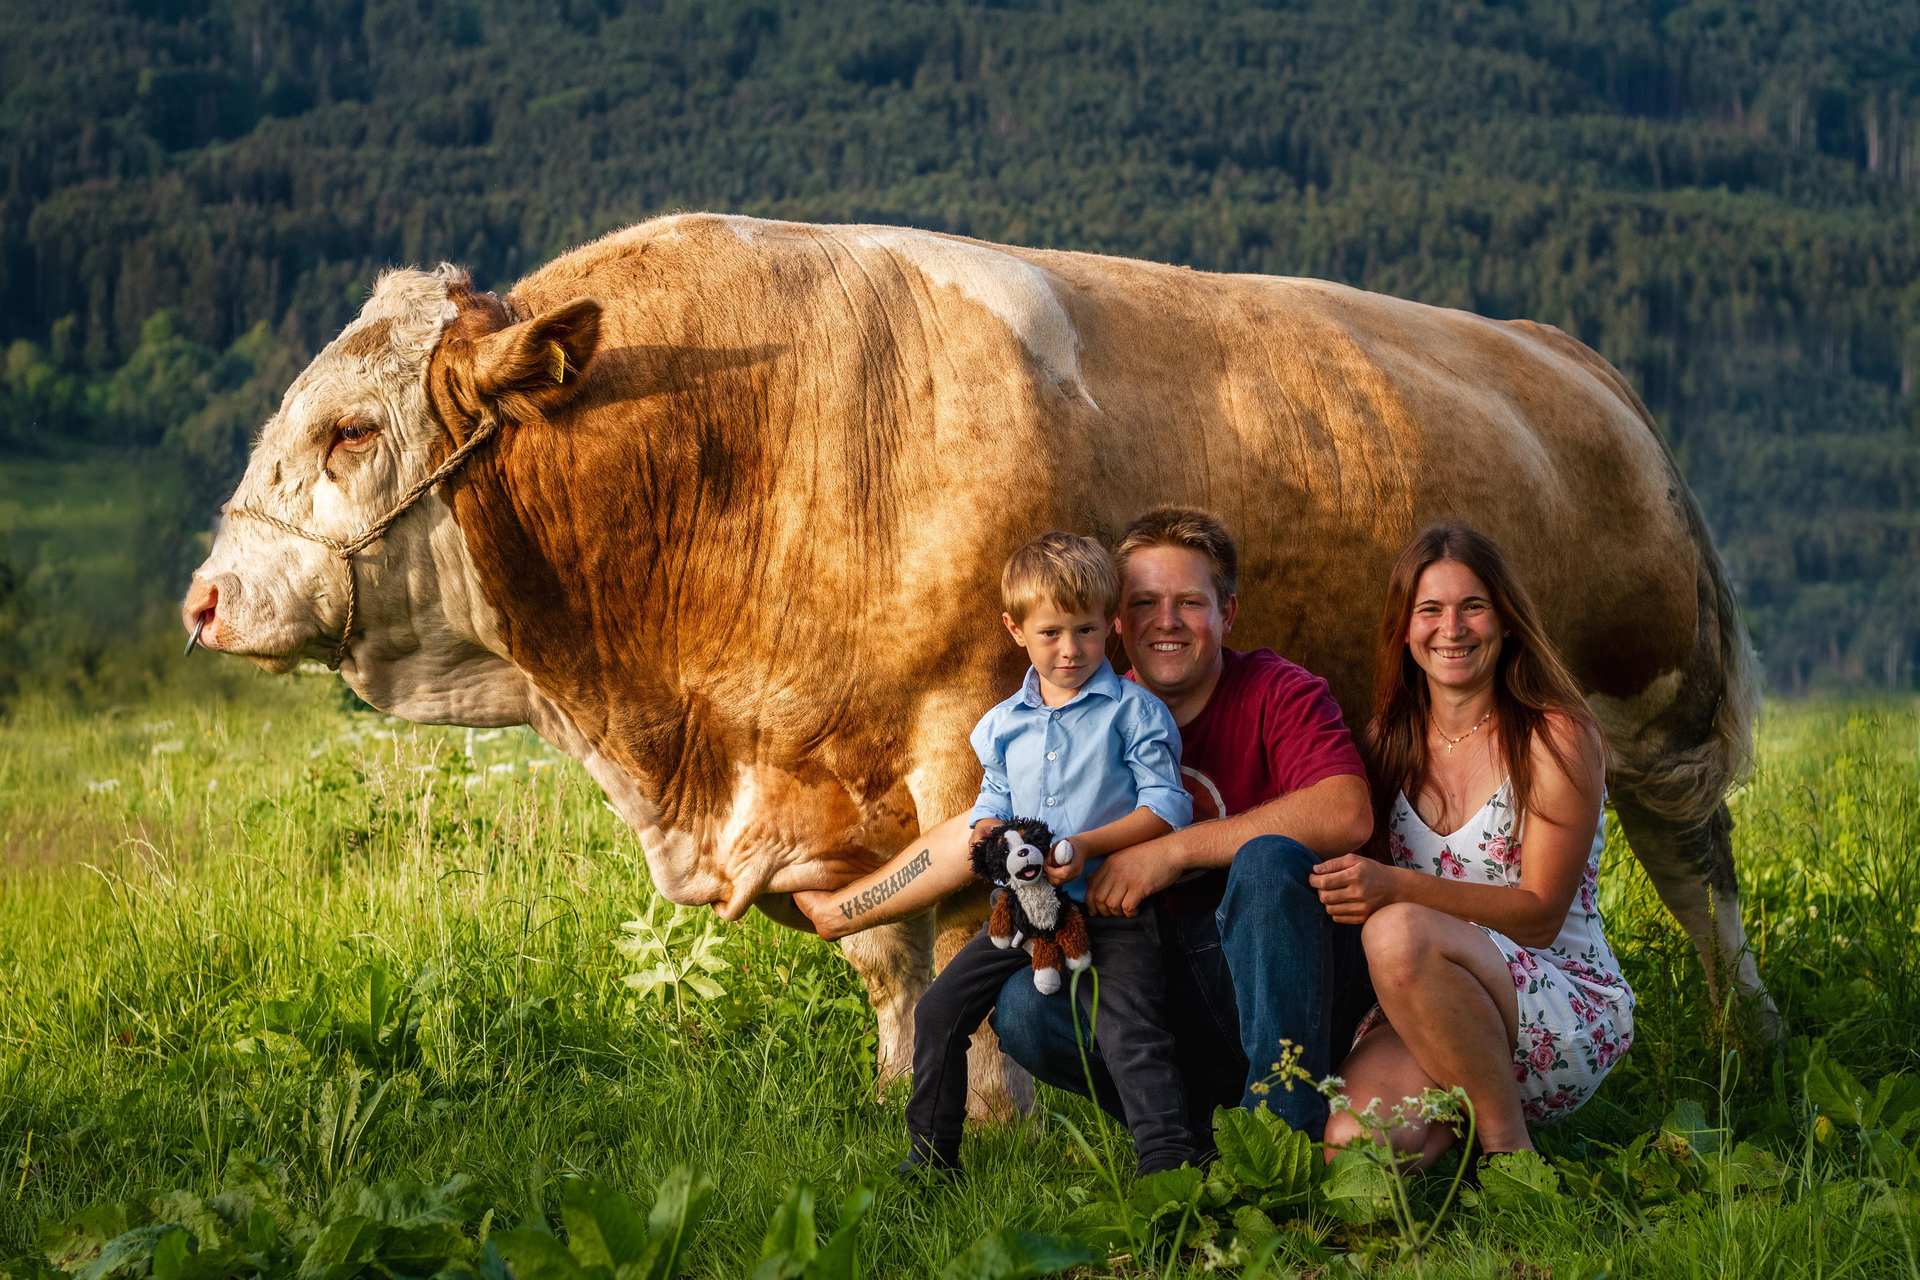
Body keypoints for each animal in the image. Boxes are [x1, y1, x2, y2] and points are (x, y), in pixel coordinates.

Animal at [182, 214, 1774, 1114]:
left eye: (345, 432)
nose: (204, 598)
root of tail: (1562, 355)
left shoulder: (961, 742)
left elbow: (965, 934)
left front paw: (996, 1112)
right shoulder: (825, 791)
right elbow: (891, 960)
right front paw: (901, 1088)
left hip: (1655, 701)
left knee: (1696, 866)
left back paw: (1744, 1035)